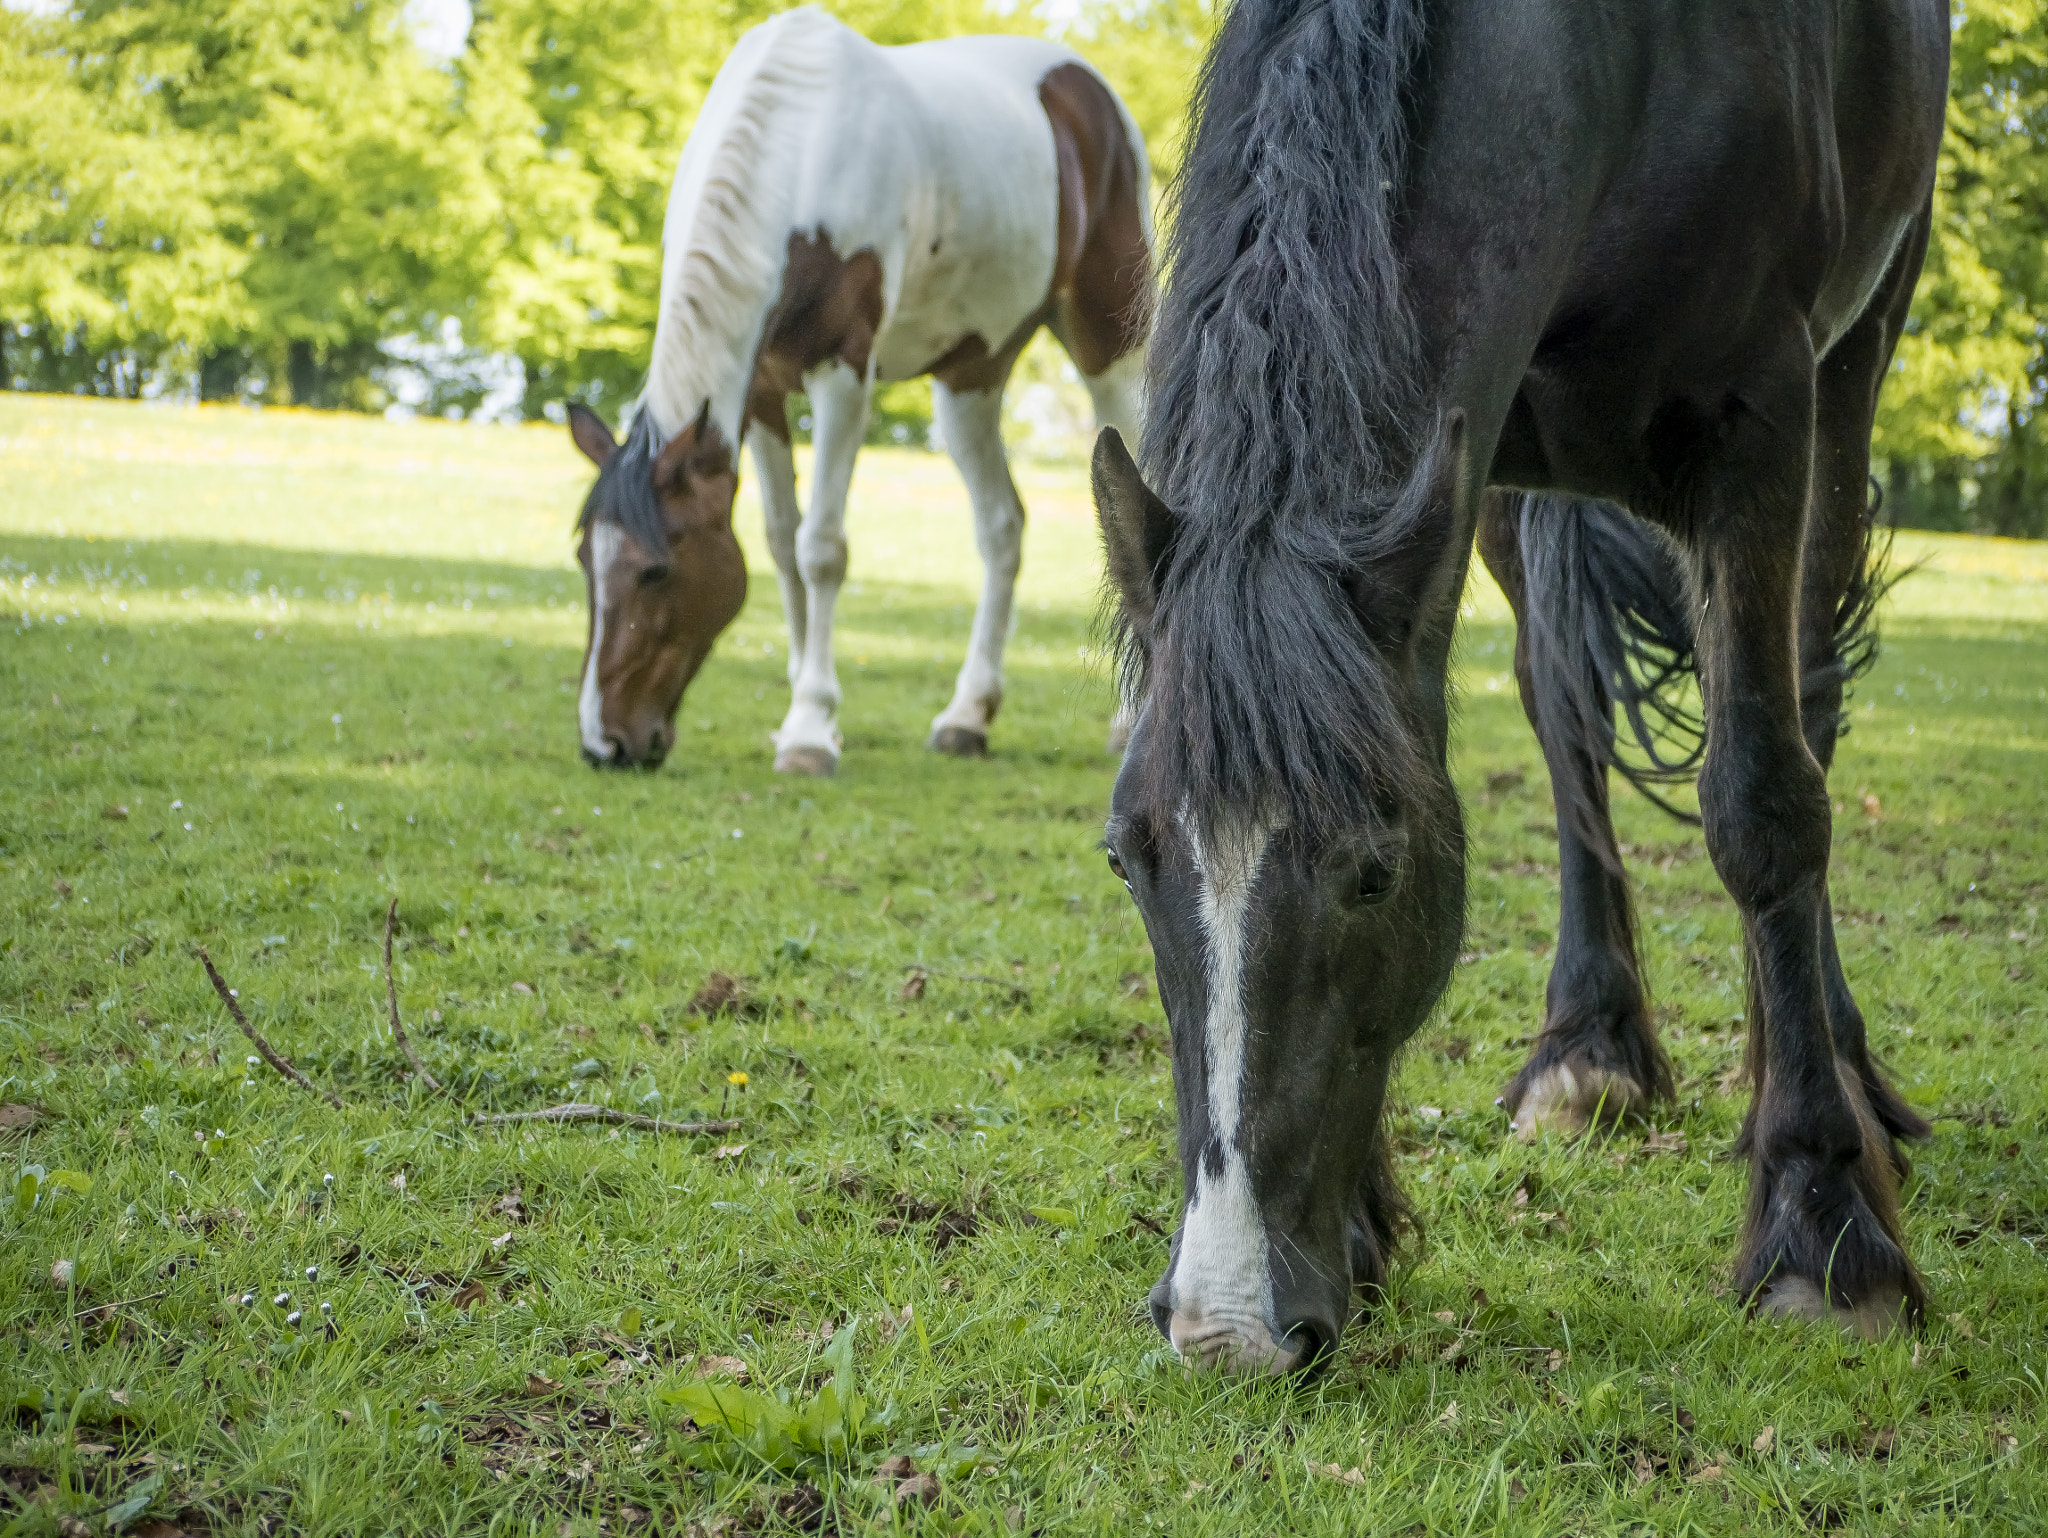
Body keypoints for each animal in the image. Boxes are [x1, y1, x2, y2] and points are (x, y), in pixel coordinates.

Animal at [565, 10, 1155, 774]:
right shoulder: (760, 390)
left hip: (1109, 348)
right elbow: (781, 543)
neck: (803, 144)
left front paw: (811, 730)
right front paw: (802, 710)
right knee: (1002, 527)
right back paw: (967, 716)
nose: (605, 743)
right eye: (586, 561)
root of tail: (1087, 89)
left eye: (656, 572)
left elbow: (821, 548)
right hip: (970, 379)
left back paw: (1128, 719)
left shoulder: (842, 374)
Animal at [1097, 0, 1941, 1368]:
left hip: (1853, 362)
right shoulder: (1459, 464)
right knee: (1565, 717)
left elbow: (1762, 805)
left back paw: (1827, 1073)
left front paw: (1821, 1221)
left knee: (1797, 711)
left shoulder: (1759, 423)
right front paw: (1368, 1221)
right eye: (1127, 855)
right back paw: (1586, 1047)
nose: (1225, 1323)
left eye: (1373, 868)